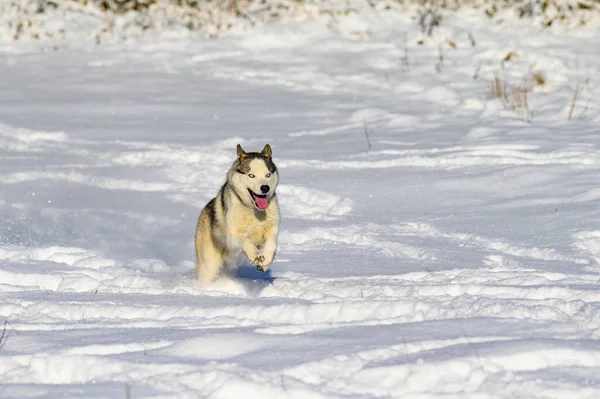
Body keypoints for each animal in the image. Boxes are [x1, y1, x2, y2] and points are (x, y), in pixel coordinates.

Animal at [196, 144, 282, 282]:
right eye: (251, 175)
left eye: (268, 174)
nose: (265, 188)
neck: (254, 211)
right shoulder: (233, 236)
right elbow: (245, 240)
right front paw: (254, 255)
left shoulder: (272, 227)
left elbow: (271, 244)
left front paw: (266, 260)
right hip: (208, 265)